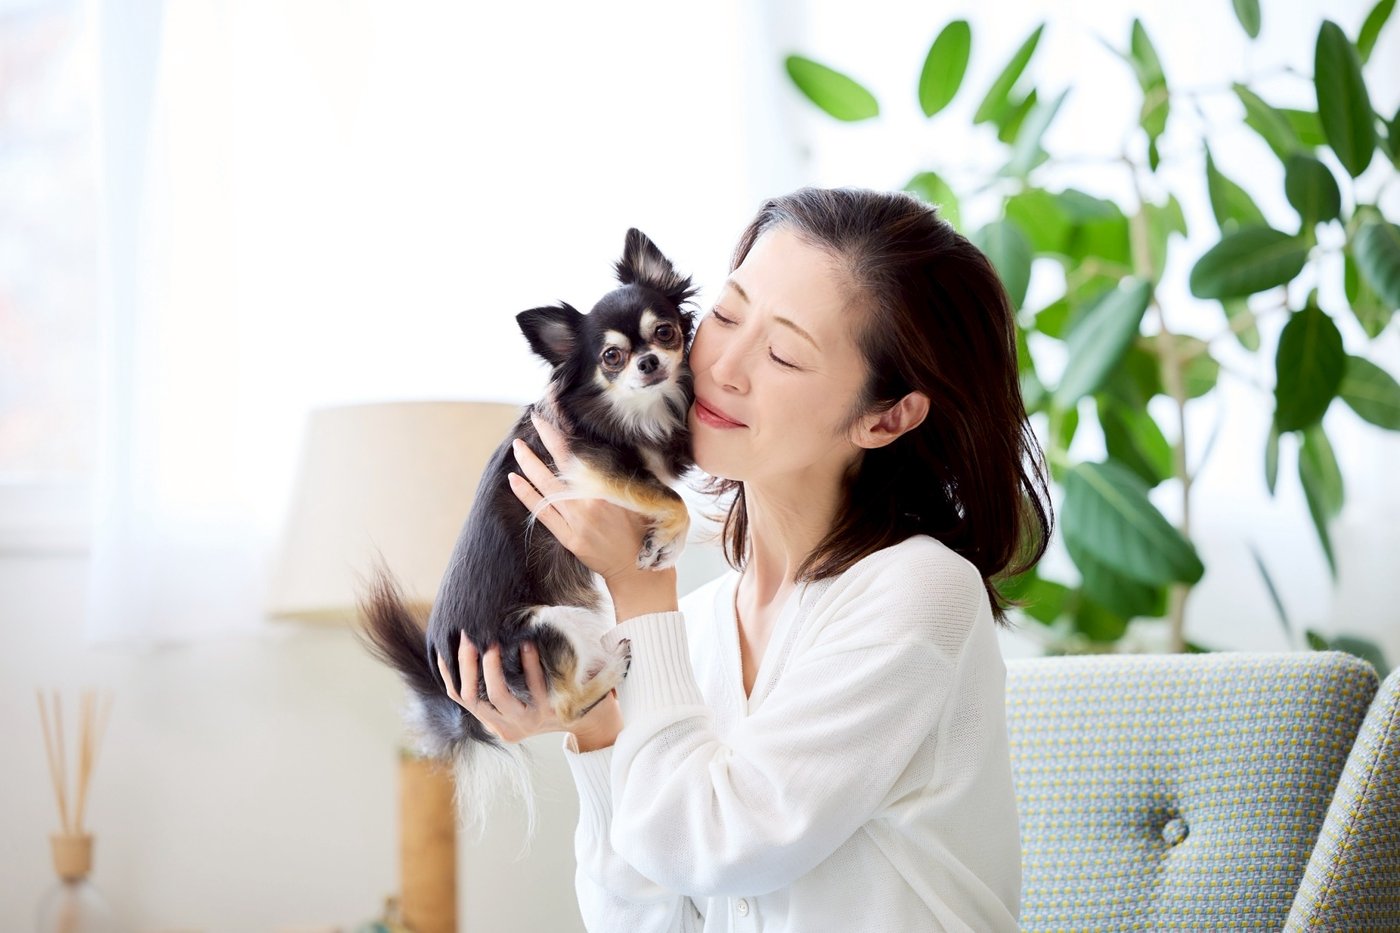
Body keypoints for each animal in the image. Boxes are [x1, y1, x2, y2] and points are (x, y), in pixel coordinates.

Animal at [356, 228, 697, 837]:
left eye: (665, 331)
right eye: (612, 358)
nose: (651, 361)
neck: (635, 410)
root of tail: (456, 700)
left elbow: (671, 489)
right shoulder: (591, 465)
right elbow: (672, 498)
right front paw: (666, 541)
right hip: (548, 624)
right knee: (564, 705)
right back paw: (612, 669)